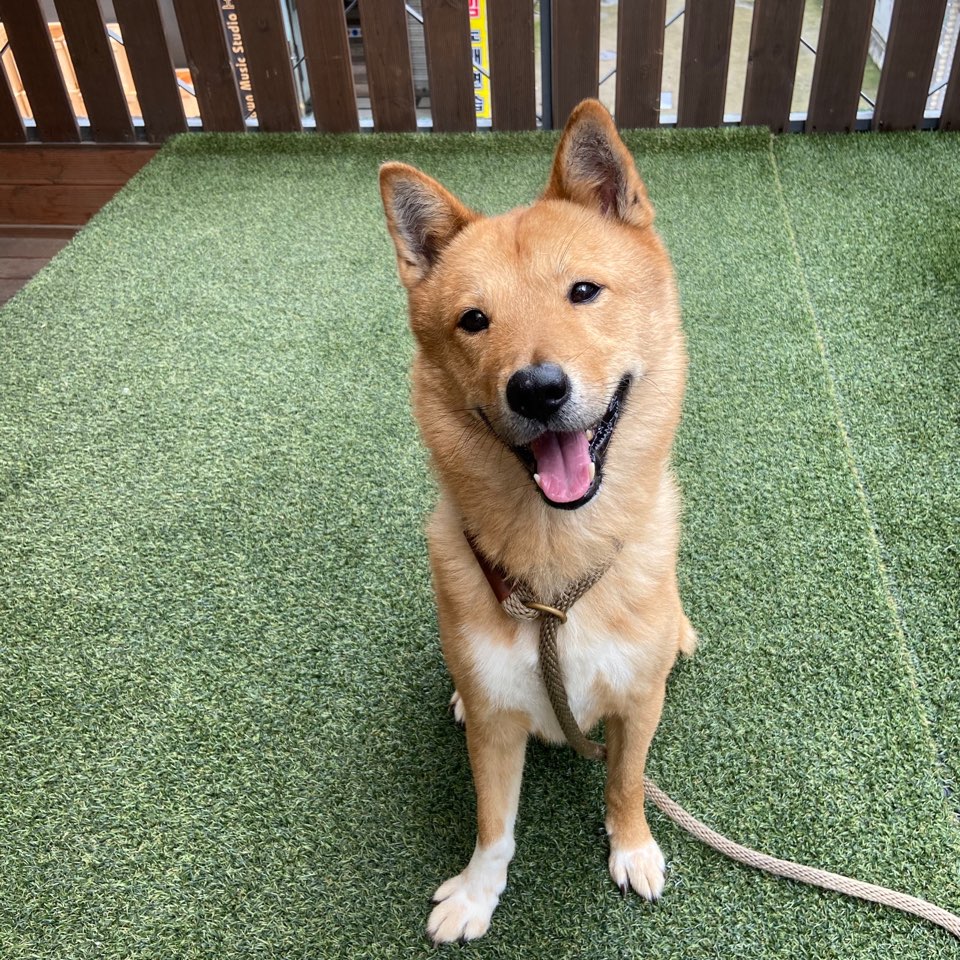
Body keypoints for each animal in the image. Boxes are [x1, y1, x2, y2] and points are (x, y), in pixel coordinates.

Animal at [379, 99, 696, 944]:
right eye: (473, 320)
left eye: (584, 291)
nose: (537, 388)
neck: (558, 571)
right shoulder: (496, 729)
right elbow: (494, 824)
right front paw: (477, 892)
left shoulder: (636, 705)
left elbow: (626, 783)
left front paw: (632, 847)